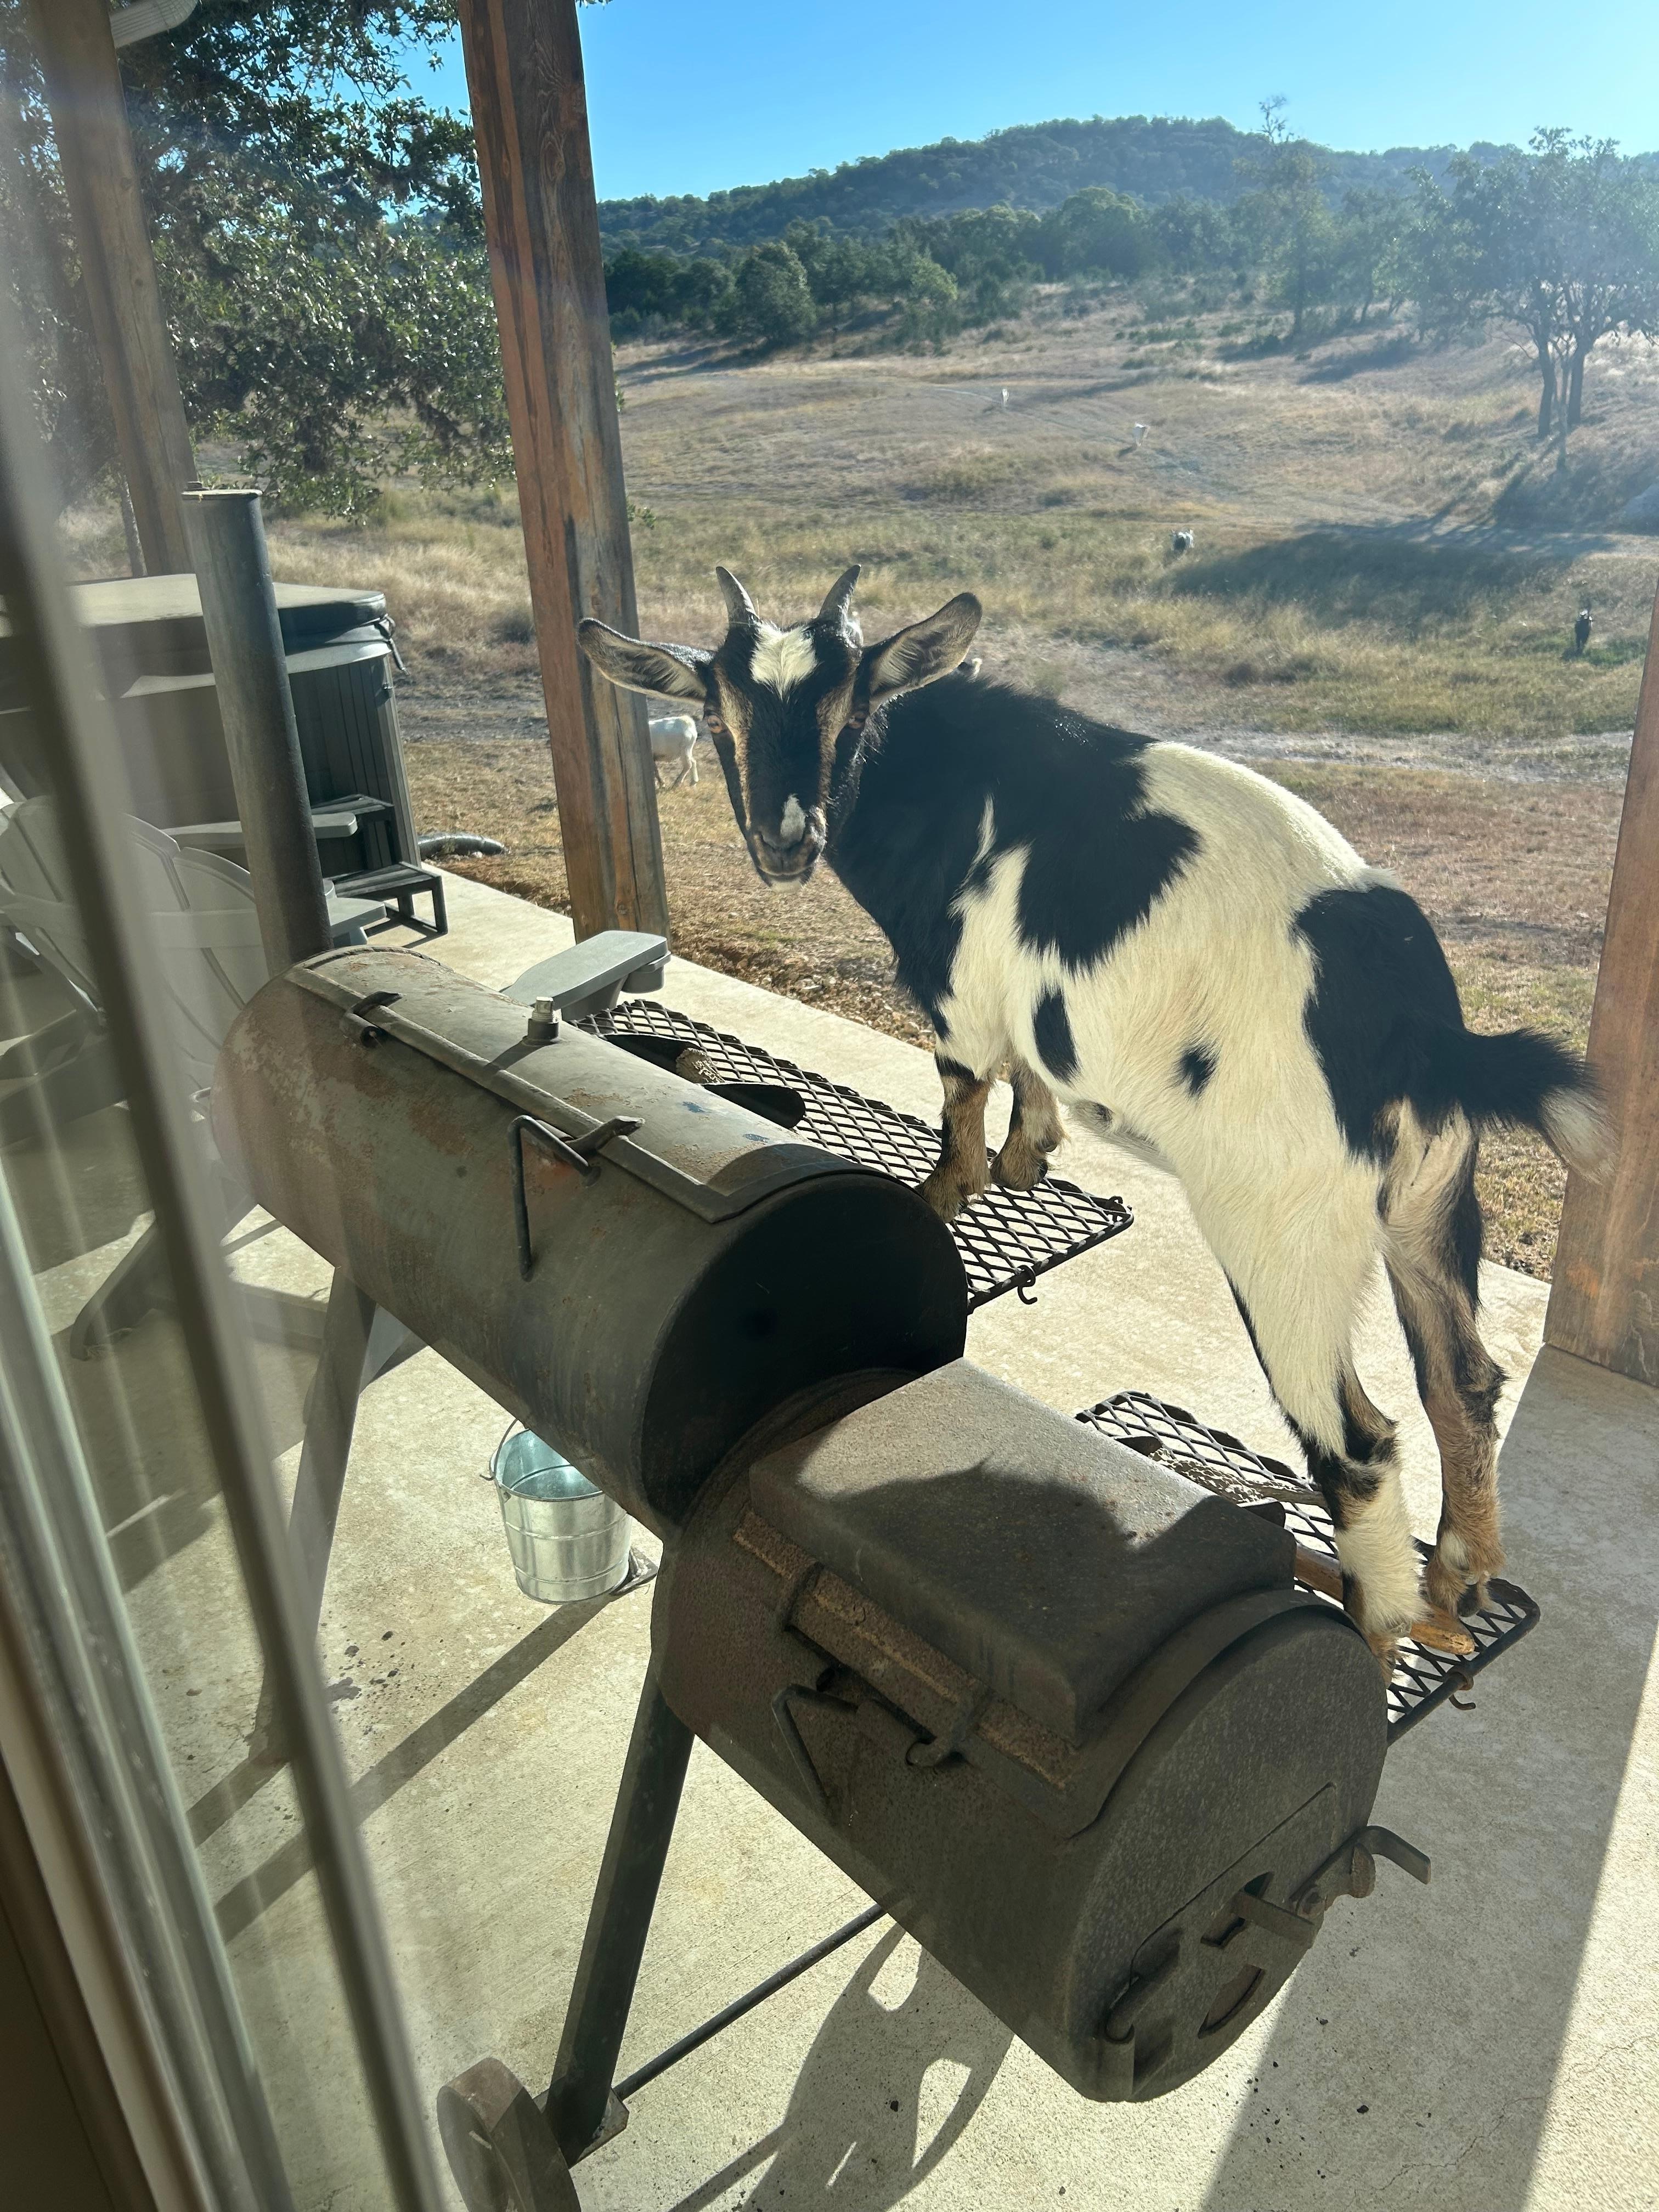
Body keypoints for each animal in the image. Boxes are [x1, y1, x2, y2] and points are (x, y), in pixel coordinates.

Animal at [650, 712, 700, 789]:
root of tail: (687, 721)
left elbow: (655, 772)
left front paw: (662, 784)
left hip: (685, 750)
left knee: (688, 765)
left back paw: (677, 782)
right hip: (688, 750)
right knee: (693, 762)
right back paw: (693, 782)